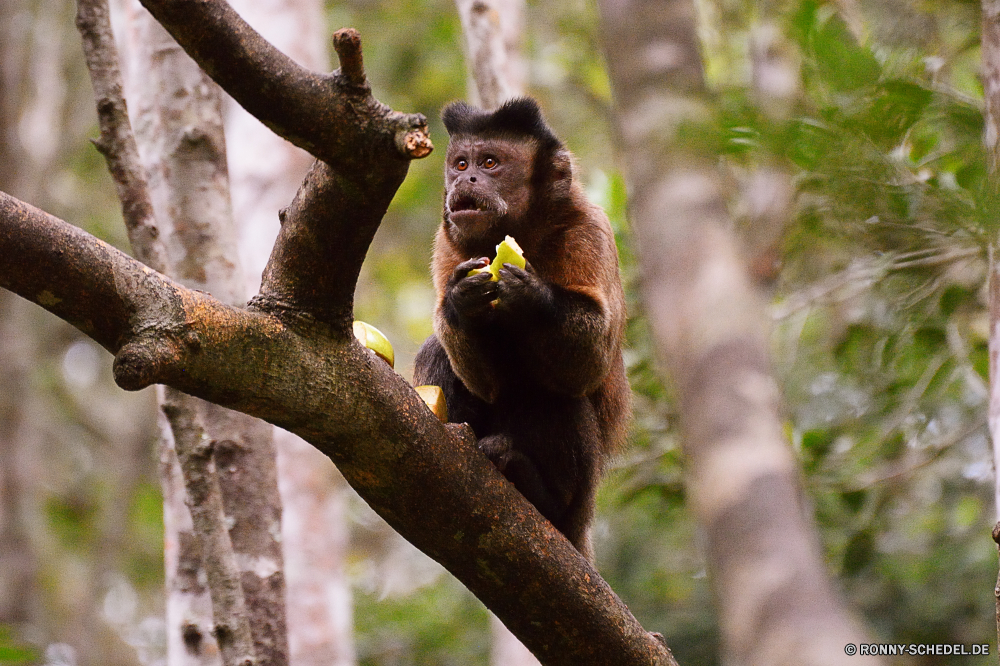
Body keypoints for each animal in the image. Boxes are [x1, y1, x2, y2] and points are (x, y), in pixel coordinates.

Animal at [412, 96, 628, 556]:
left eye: (490, 163)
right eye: (460, 163)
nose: (467, 179)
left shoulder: (590, 230)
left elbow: (591, 361)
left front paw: (530, 294)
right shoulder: (448, 243)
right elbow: (483, 381)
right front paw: (461, 299)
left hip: (581, 497)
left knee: (551, 391)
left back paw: (538, 490)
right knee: (439, 351)